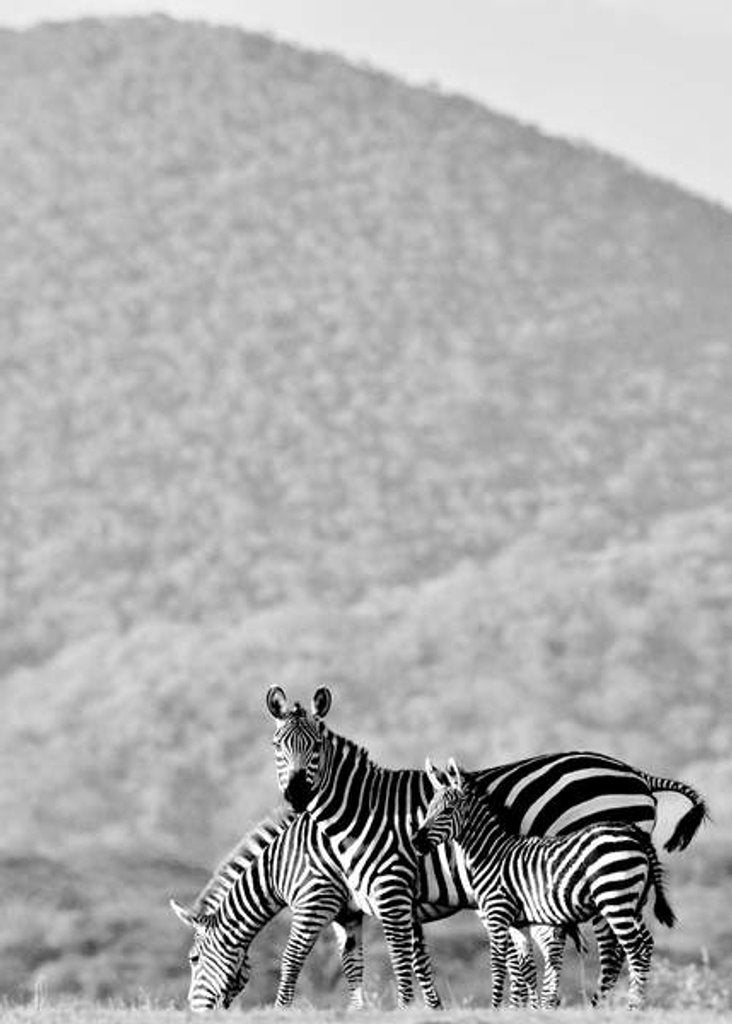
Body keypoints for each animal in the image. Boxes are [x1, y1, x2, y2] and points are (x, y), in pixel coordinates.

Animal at [171, 809, 366, 1010]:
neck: (277, 869)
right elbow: (351, 963)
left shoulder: (314, 902)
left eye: (193, 958)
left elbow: (291, 959)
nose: (192, 1010)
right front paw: (358, 1011)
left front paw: (281, 1010)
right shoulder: (345, 912)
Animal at [413, 757, 676, 1009]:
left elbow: (497, 965)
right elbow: (525, 967)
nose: (415, 842)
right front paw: (531, 1009)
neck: (491, 853)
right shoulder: (519, 922)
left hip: (613, 898)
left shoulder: (497, 913)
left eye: (447, 810)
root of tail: (636, 835)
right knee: (644, 945)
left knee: (634, 949)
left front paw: (496, 1007)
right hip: (631, 901)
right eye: (428, 809)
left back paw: (633, 1007)